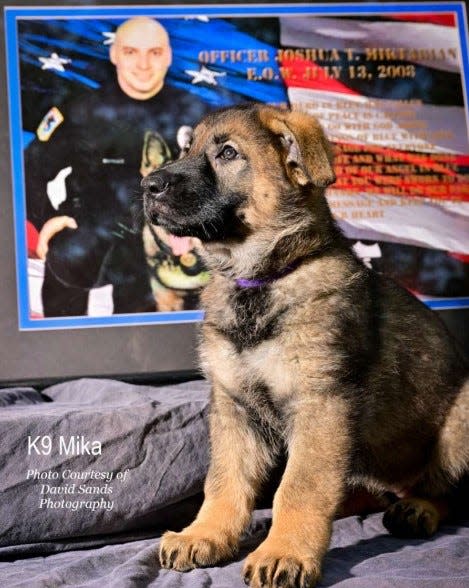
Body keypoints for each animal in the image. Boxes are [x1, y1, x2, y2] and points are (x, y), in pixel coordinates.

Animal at [141, 104, 466, 588]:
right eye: (185, 149)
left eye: (228, 153)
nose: (147, 186)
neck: (263, 278)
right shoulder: (233, 406)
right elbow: (223, 480)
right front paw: (205, 533)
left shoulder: (320, 404)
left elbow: (298, 487)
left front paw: (285, 552)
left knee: (445, 492)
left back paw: (417, 508)